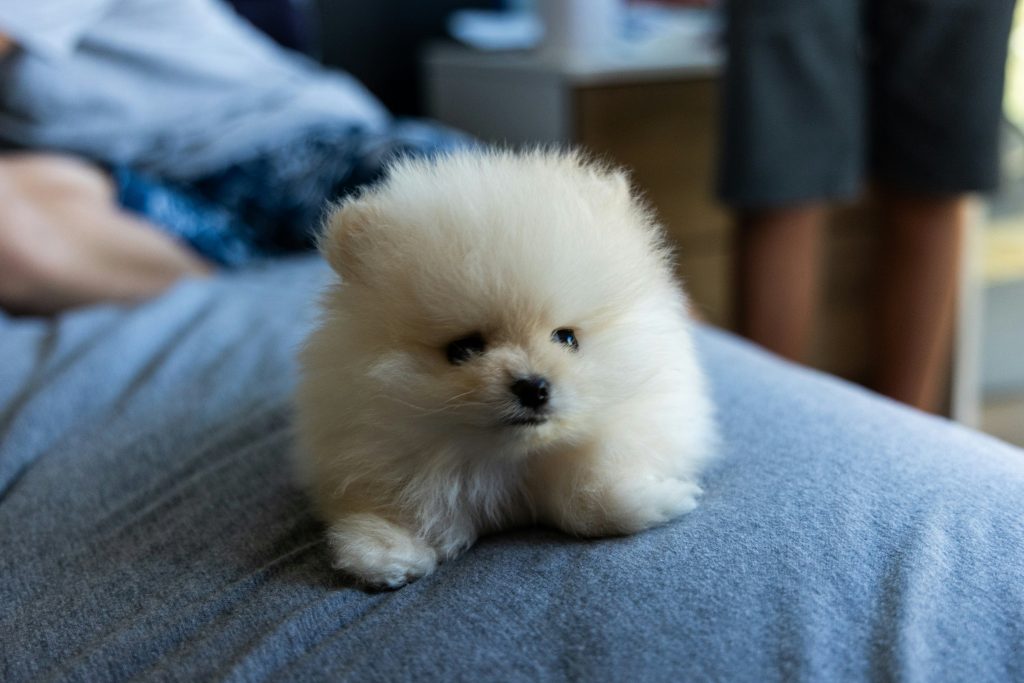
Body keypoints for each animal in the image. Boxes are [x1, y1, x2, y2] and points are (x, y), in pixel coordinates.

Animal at [292, 148, 716, 589]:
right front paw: (387, 552)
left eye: (567, 338)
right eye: (463, 349)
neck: (508, 461)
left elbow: (584, 499)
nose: (533, 387)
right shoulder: (369, 450)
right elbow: (396, 510)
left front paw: (657, 497)